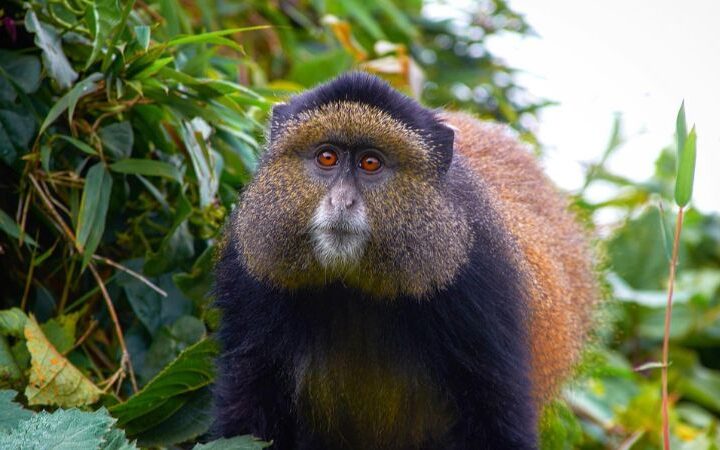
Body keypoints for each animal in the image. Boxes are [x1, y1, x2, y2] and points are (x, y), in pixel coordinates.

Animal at [212, 72, 597, 450]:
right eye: (327, 158)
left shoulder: (481, 283)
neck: (352, 288)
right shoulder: (249, 275)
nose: (342, 202)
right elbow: (247, 403)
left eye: (370, 163)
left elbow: (497, 418)